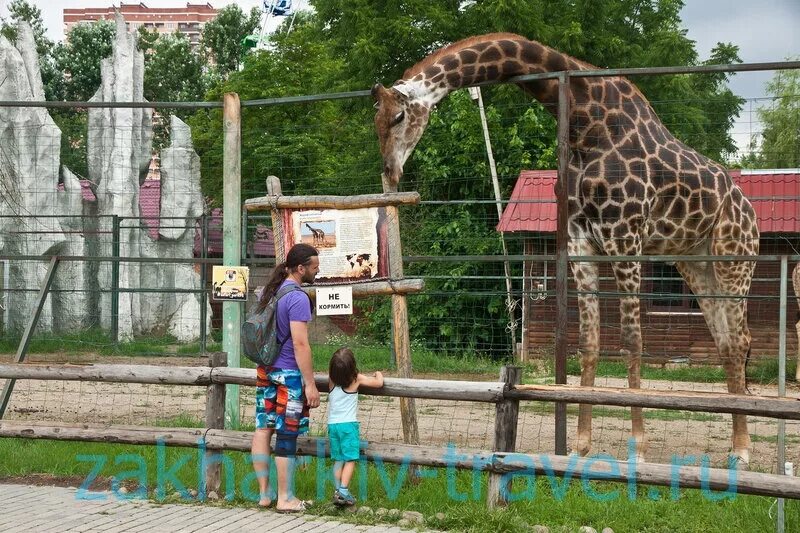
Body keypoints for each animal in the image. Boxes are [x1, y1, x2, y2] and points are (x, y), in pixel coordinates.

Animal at [372, 34, 760, 466]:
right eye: (375, 122)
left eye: (398, 118)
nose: (390, 171)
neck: (585, 125)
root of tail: (748, 208)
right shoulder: (580, 241)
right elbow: (588, 342)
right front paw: (580, 446)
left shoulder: (624, 234)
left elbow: (632, 340)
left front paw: (638, 451)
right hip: (695, 263)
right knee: (726, 342)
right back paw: (736, 446)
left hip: (734, 257)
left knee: (740, 340)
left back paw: (744, 451)